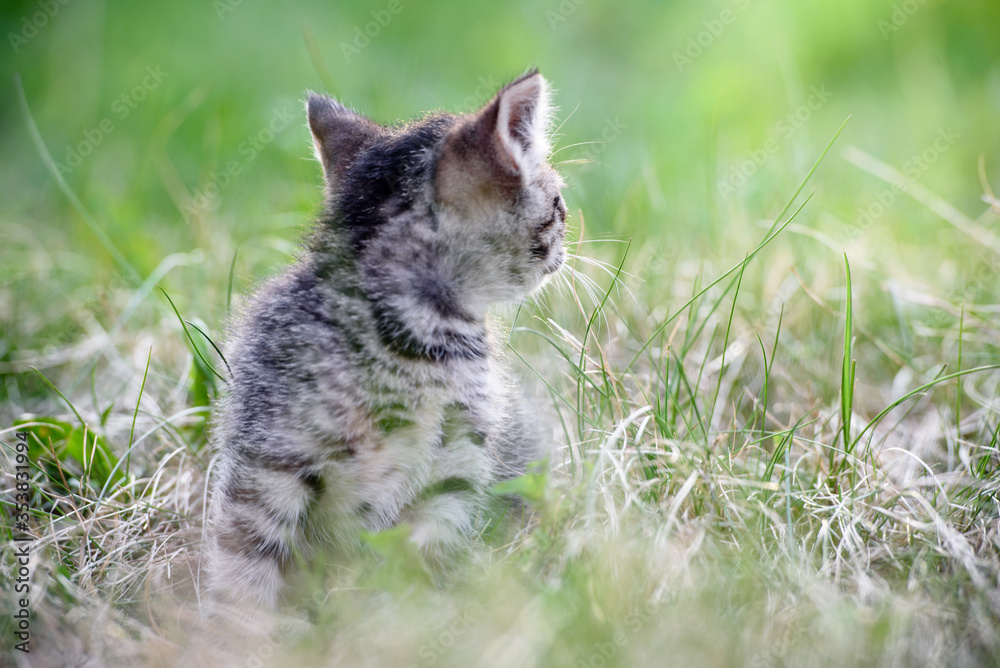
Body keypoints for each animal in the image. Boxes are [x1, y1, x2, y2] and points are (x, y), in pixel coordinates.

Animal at [205, 69, 564, 612]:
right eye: (559, 203)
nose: (569, 240)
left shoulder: (455, 466)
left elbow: (420, 560)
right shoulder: (269, 448)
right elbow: (244, 558)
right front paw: (238, 625)